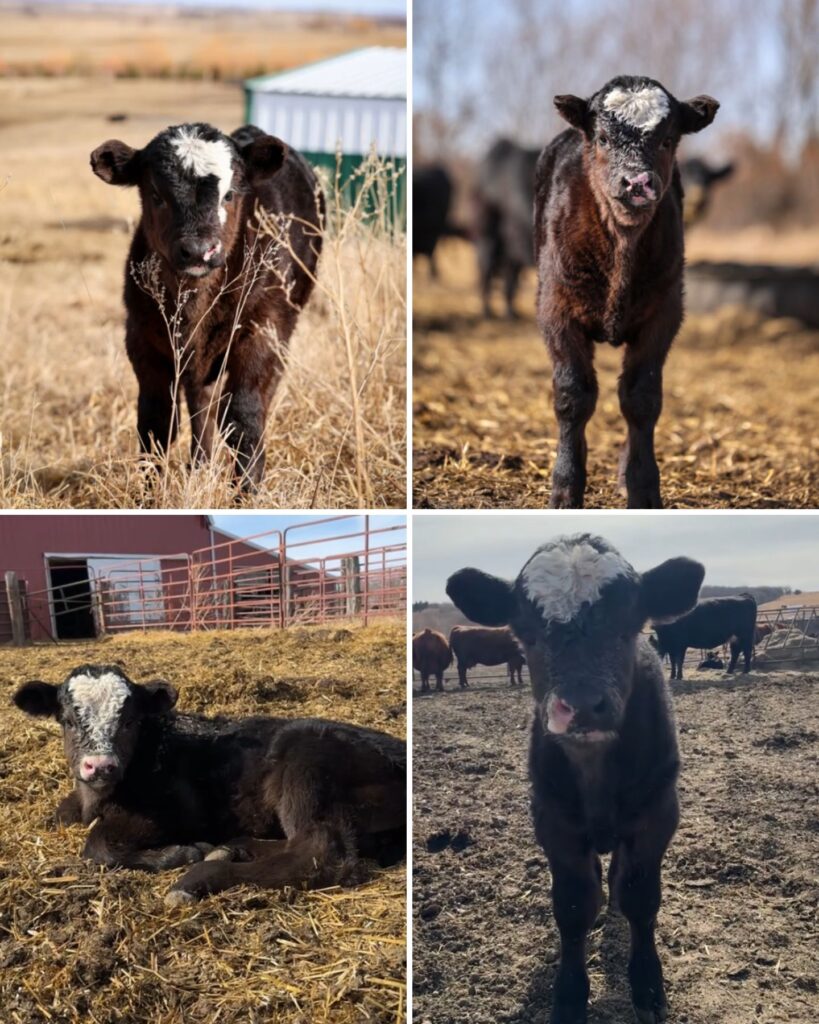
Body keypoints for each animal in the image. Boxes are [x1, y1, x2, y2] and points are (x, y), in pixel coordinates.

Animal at [12, 664, 405, 904]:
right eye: (67, 719)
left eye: (129, 721)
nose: (100, 765)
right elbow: (62, 813)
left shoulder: (171, 812)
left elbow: (98, 845)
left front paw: (178, 853)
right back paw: (230, 848)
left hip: (308, 767)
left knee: (320, 853)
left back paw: (196, 877)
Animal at [90, 122, 323, 491]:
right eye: (156, 195)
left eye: (229, 195)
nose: (199, 251)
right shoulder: (142, 338)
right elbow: (156, 423)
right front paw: (151, 494)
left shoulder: (265, 329)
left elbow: (243, 416)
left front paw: (247, 492)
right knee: (202, 405)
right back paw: (199, 466)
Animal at [446, 535, 705, 1024]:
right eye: (526, 633)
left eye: (628, 626)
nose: (582, 704)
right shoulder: (553, 818)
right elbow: (572, 905)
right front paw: (568, 995)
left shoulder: (658, 812)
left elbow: (641, 898)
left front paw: (648, 985)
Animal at [534, 76, 720, 509]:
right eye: (602, 138)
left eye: (667, 140)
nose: (637, 183)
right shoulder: (556, 310)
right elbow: (573, 395)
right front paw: (565, 487)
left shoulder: (663, 314)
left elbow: (641, 398)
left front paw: (643, 487)